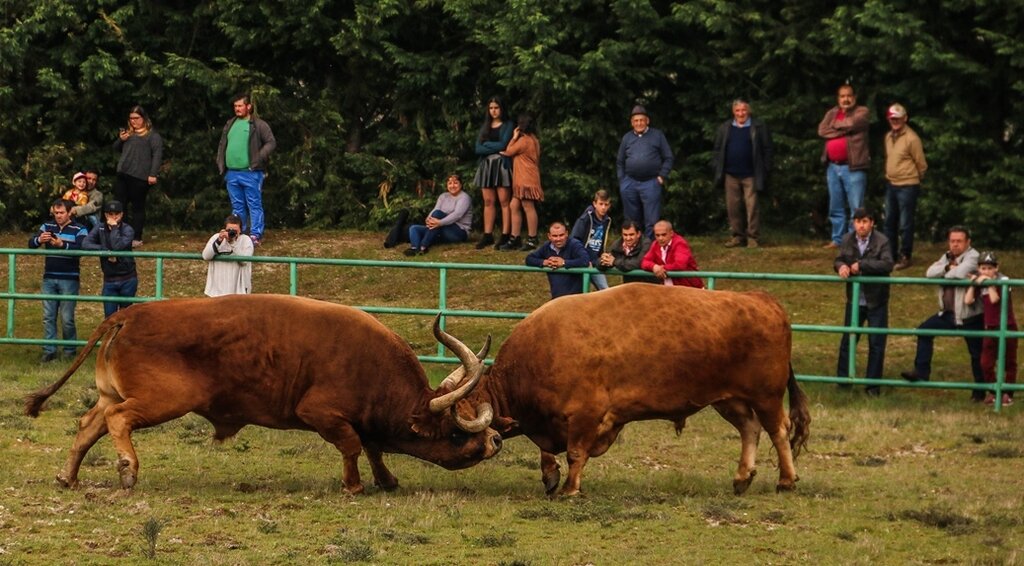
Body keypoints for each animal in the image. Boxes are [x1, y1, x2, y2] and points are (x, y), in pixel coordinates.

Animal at [25, 292, 501, 491]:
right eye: (455, 433)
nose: (494, 440)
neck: (373, 367)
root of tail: (128, 315)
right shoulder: (321, 414)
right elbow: (352, 446)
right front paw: (353, 486)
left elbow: (372, 447)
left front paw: (386, 480)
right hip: (161, 402)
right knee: (117, 419)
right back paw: (128, 470)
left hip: (111, 393)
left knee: (90, 424)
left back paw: (68, 476)